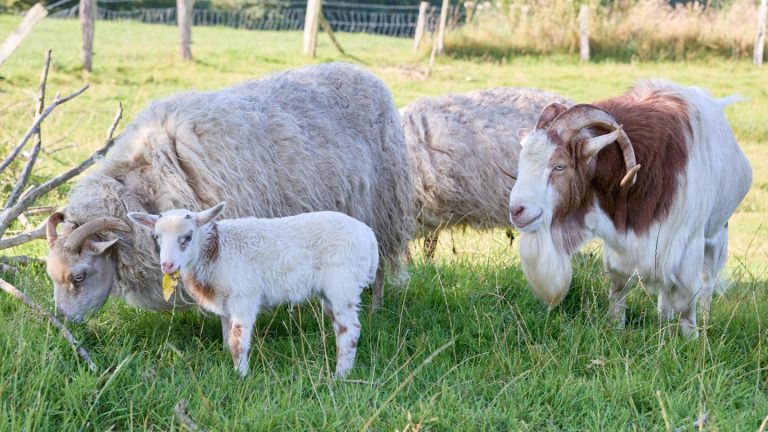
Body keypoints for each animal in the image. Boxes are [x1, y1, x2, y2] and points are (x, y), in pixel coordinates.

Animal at [45, 62, 414, 322]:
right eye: (52, 276)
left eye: (79, 276)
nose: (62, 322)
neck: (146, 182)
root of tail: (368, 75)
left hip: (383, 208)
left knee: (380, 266)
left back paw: (375, 309)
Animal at [130, 204, 380, 376]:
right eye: (156, 237)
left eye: (188, 237)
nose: (167, 265)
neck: (215, 251)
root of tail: (369, 236)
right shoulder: (225, 302)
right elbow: (226, 334)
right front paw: (227, 361)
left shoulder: (244, 296)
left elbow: (237, 339)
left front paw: (240, 375)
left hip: (342, 282)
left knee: (350, 329)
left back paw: (340, 375)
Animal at [508, 81, 752, 338]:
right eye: (522, 162)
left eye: (559, 166)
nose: (517, 211)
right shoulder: (620, 246)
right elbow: (619, 287)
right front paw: (616, 327)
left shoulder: (686, 244)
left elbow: (686, 304)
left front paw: (691, 340)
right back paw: (663, 321)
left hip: (717, 235)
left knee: (707, 282)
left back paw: (703, 322)